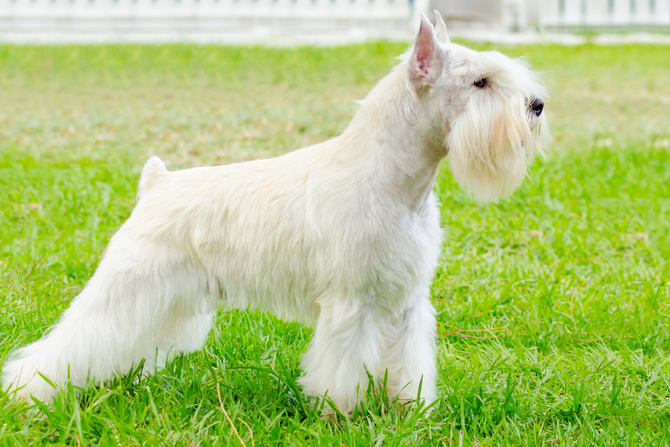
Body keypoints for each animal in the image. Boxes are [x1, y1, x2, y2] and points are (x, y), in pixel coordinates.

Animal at [1, 13, 544, 412]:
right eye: (480, 82)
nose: (536, 105)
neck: (396, 180)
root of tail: (157, 183)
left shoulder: (406, 303)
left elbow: (408, 367)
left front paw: (410, 412)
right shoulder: (352, 305)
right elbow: (344, 370)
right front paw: (342, 416)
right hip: (125, 288)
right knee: (71, 342)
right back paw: (28, 392)